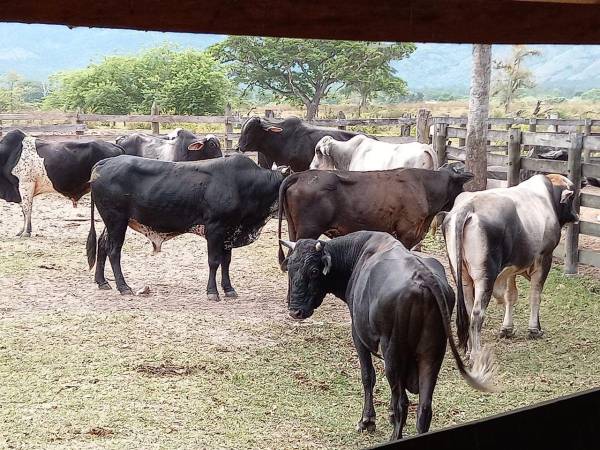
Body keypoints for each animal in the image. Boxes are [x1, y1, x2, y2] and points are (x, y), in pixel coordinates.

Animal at [85, 153, 290, 300]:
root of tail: (104, 162)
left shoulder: (229, 231)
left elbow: (226, 262)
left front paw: (229, 289)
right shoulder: (215, 228)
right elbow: (214, 261)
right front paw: (212, 292)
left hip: (112, 222)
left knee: (102, 245)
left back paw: (102, 282)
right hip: (117, 220)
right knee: (113, 251)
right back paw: (123, 287)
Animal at [278, 230, 494, 442]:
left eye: (314, 271)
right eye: (291, 269)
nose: (295, 311)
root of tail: (422, 276)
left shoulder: (358, 336)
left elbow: (368, 376)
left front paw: (367, 420)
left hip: (393, 352)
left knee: (402, 403)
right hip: (432, 355)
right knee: (423, 408)